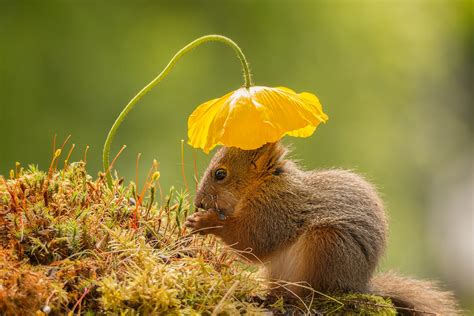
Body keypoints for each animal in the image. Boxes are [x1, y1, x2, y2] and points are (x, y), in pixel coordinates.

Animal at [184, 142, 460, 314]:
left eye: (220, 174)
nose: (199, 203)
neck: (262, 185)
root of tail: (358, 284)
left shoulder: (276, 210)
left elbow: (253, 241)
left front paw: (205, 222)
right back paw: (269, 296)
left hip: (326, 246)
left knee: (315, 294)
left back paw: (296, 299)